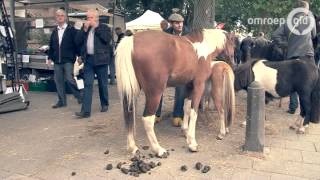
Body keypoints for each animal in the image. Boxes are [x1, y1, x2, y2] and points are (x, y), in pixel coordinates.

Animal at [115, 28, 235, 157]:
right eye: (233, 42)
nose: (232, 61)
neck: (203, 47)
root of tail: (132, 40)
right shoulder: (199, 84)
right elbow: (194, 112)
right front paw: (192, 143)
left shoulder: (189, 86)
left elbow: (186, 107)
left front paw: (185, 132)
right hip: (155, 93)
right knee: (148, 119)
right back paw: (159, 150)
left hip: (132, 92)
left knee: (129, 113)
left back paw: (133, 148)